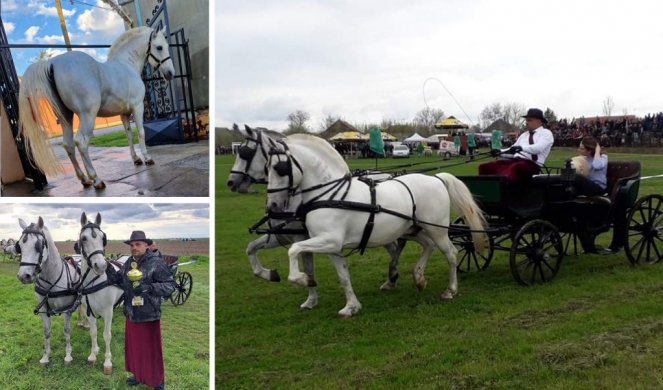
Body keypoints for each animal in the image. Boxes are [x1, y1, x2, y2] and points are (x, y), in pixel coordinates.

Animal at [16, 218, 80, 368]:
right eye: (20, 245)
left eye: (39, 246)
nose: (23, 276)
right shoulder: (43, 309)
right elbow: (46, 332)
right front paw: (45, 357)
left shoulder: (66, 309)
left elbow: (66, 331)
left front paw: (68, 355)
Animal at [19, 25, 176, 190]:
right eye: (159, 47)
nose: (170, 73)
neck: (127, 65)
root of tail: (53, 62)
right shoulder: (137, 108)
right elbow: (141, 132)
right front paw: (147, 158)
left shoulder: (124, 114)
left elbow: (128, 134)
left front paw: (136, 159)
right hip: (87, 115)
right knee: (81, 142)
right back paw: (96, 179)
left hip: (66, 117)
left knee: (68, 144)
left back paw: (84, 179)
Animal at [78, 213, 124, 374]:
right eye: (83, 238)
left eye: (103, 238)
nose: (101, 266)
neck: (96, 281)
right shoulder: (89, 311)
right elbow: (93, 332)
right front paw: (93, 354)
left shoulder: (108, 311)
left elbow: (107, 335)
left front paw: (107, 362)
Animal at [264, 134, 488, 316]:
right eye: (267, 168)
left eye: (279, 168)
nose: (272, 205)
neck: (332, 195)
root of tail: (436, 179)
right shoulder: (332, 247)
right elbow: (343, 276)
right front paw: (351, 307)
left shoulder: (330, 240)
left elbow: (293, 249)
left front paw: (303, 279)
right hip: (414, 230)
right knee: (428, 245)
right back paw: (418, 278)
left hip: (437, 230)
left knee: (451, 253)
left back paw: (450, 290)